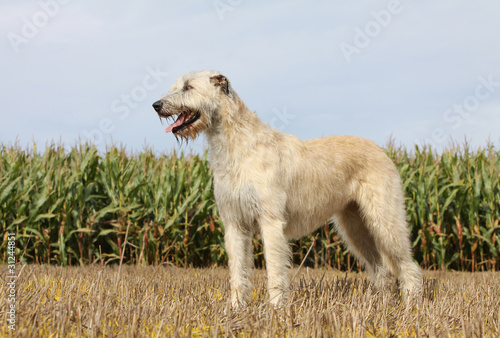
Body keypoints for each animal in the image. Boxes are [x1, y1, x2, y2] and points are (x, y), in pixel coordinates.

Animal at [153, 70, 422, 306]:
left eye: (188, 87)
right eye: (176, 85)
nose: (156, 104)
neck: (236, 143)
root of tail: (382, 150)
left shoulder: (270, 221)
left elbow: (274, 268)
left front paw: (276, 308)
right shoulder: (234, 223)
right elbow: (238, 270)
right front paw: (236, 308)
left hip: (385, 220)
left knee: (408, 266)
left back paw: (411, 306)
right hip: (354, 225)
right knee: (382, 269)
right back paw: (382, 306)